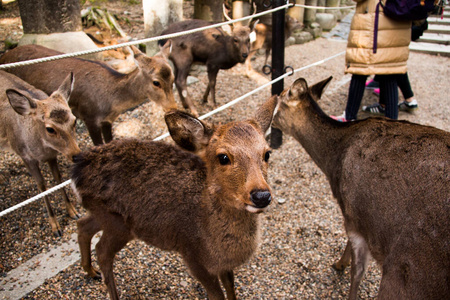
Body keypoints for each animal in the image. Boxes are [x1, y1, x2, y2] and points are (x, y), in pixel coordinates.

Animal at [0, 42, 179, 145]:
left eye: (173, 78)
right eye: (156, 82)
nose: (173, 108)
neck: (111, 102)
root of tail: (5, 55)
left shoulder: (107, 120)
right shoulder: (89, 117)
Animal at [0, 69, 81, 237]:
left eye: (74, 120)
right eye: (50, 128)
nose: (76, 155)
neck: (41, 150)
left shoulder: (51, 156)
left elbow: (58, 178)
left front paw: (73, 211)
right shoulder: (25, 156)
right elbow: (42, 186)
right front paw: (55, 227)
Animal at [70, 96, 278, 300]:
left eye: (267, 153)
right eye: (223, 157)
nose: (261, 195)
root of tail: (77, 169)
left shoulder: (223, 264)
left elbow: (231, 288)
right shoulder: (192, 256)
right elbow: (217, 295)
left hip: (104, 214)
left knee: (83, 225)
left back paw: (91, 271)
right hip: (118, 225)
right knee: (102, 251)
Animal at [270, 77, 450, 300]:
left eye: (279, 98)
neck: (333, 164)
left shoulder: (354, 216)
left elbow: (358, 271)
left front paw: (340, 264)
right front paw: (340, 263)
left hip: (409, 274)